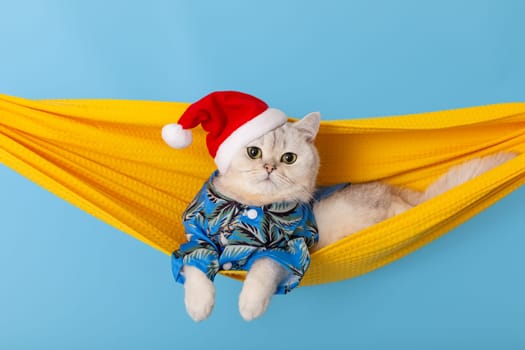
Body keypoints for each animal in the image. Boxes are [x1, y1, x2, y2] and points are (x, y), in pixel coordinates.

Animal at [180, 112, 512, 322]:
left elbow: (263, 268)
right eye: (253, 152)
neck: (251, 207)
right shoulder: (196, 240)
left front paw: (250, 304)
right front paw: (199, 305)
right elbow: (194, 267)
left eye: (289, 158)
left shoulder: (290, 249)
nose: (270, 167)